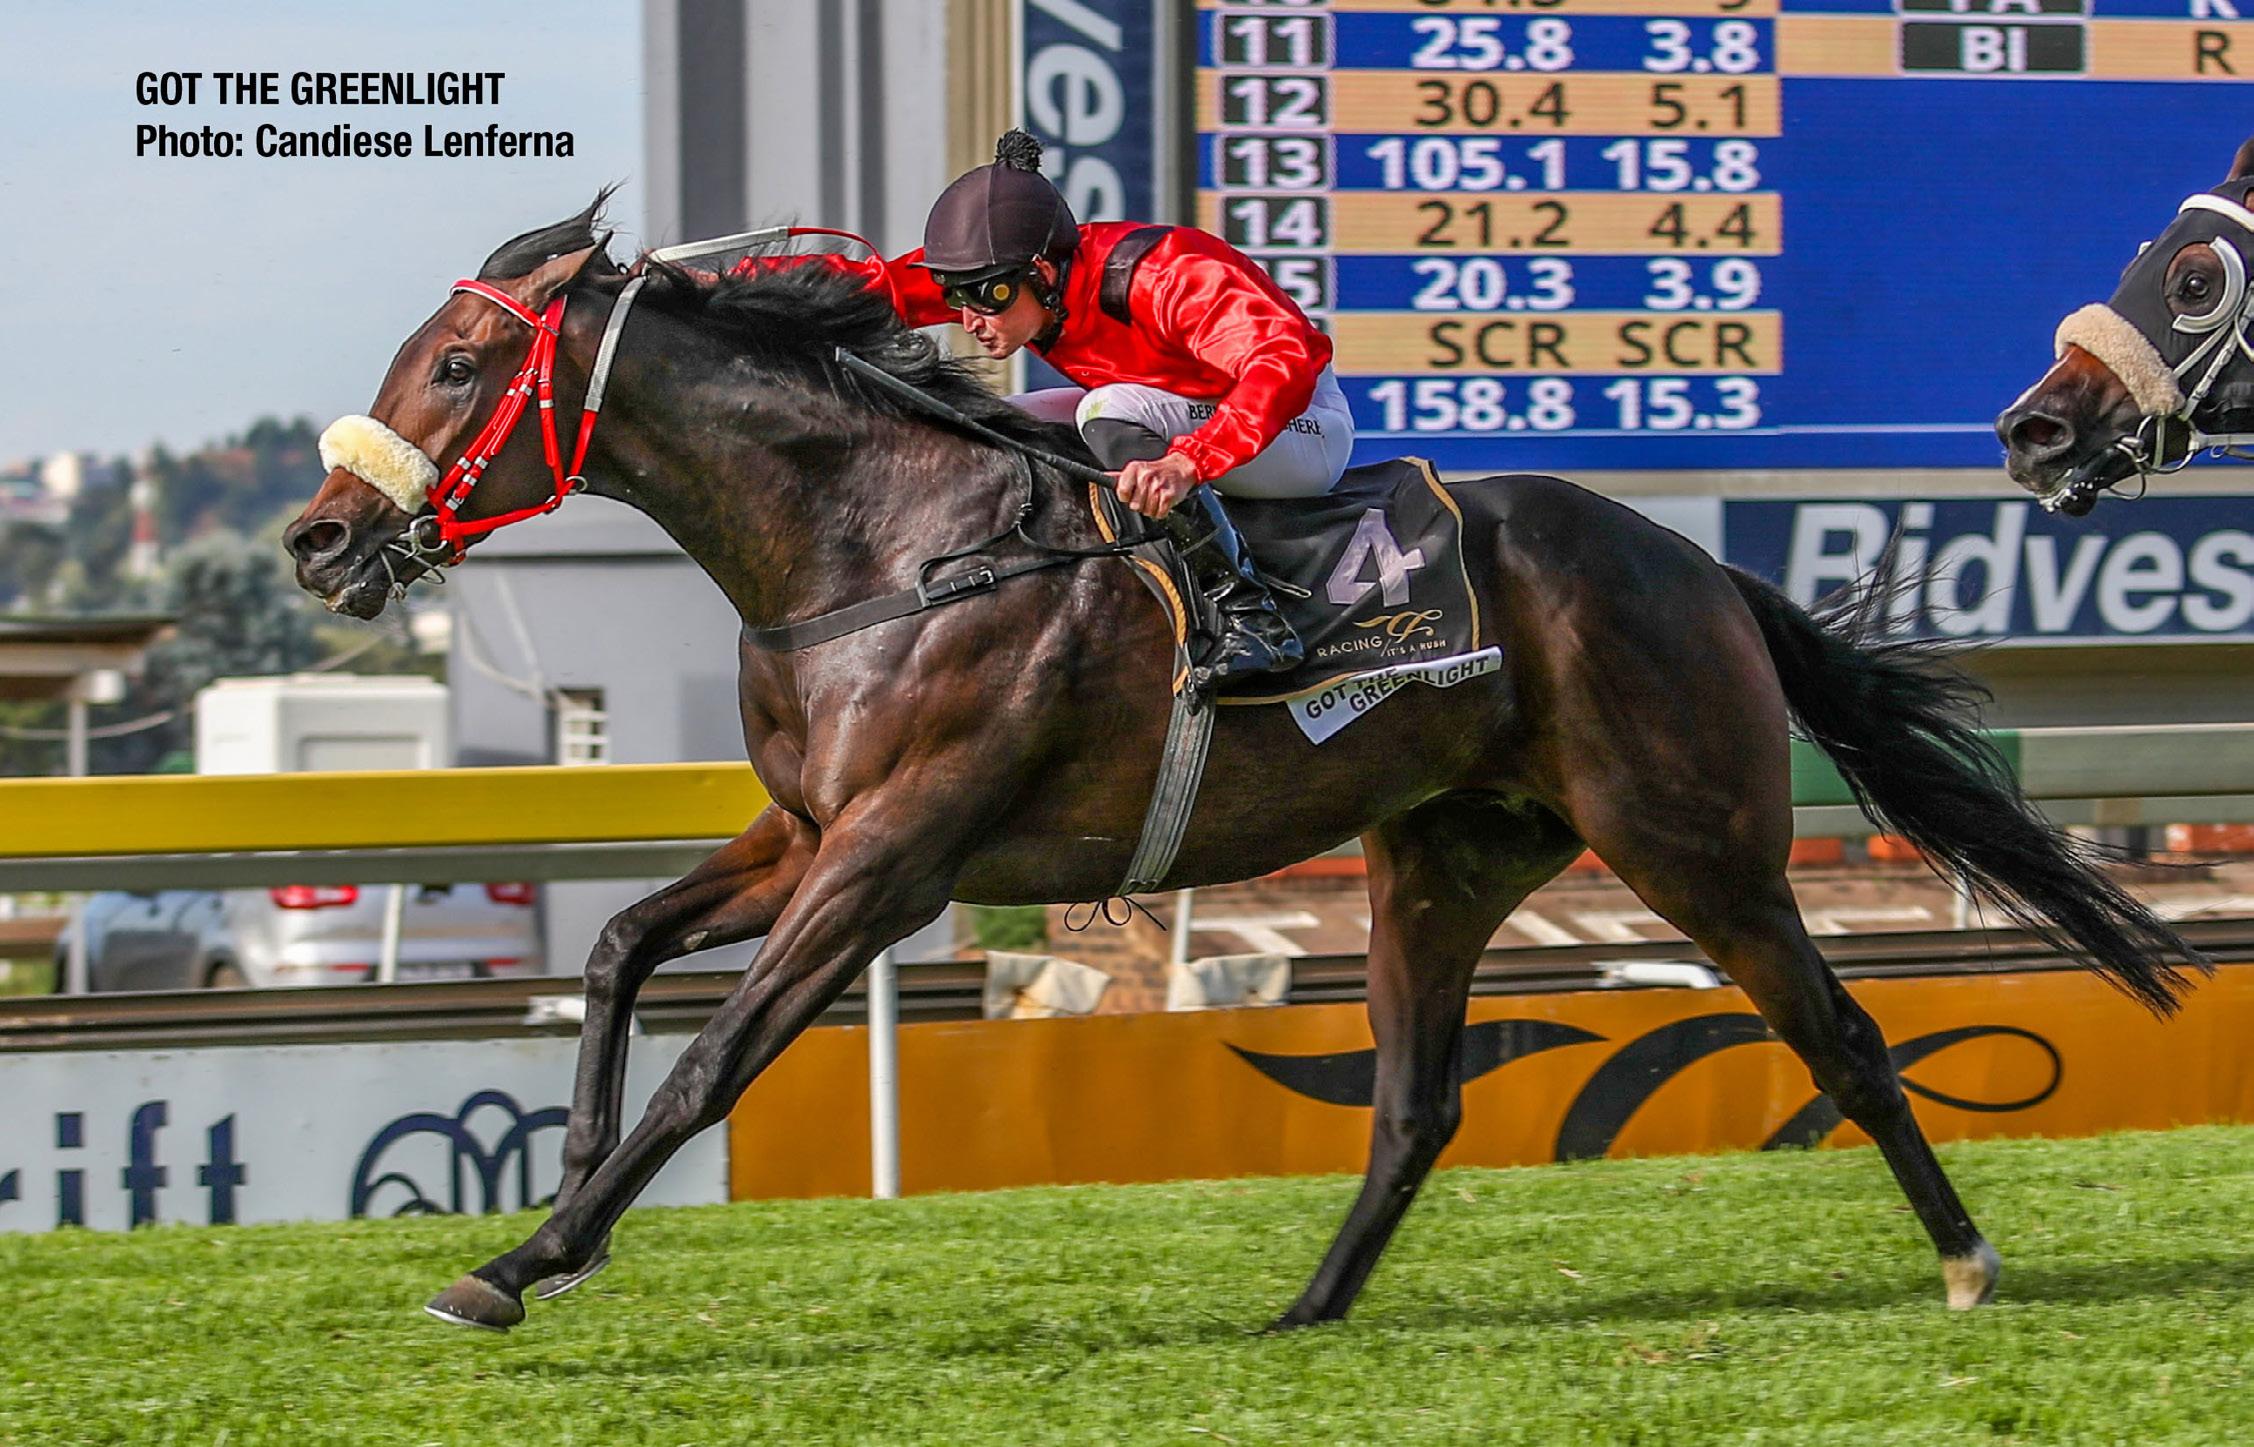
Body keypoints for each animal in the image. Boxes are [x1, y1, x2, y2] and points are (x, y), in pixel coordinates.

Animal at [286, 200, 2204, 1334]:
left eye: (460, 359)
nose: (317, 537)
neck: (879, 545)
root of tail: (1692, 565)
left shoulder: (892, 856)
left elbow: (715, 1065)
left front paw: (518, 1259)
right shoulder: (807, 826)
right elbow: (619, 951)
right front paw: (565, 1186)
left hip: (1693, 841)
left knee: (1845, 1037)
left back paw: (1963, 1257)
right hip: (1442, 854)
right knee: (1416, 1099)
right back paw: (1304, 1312)